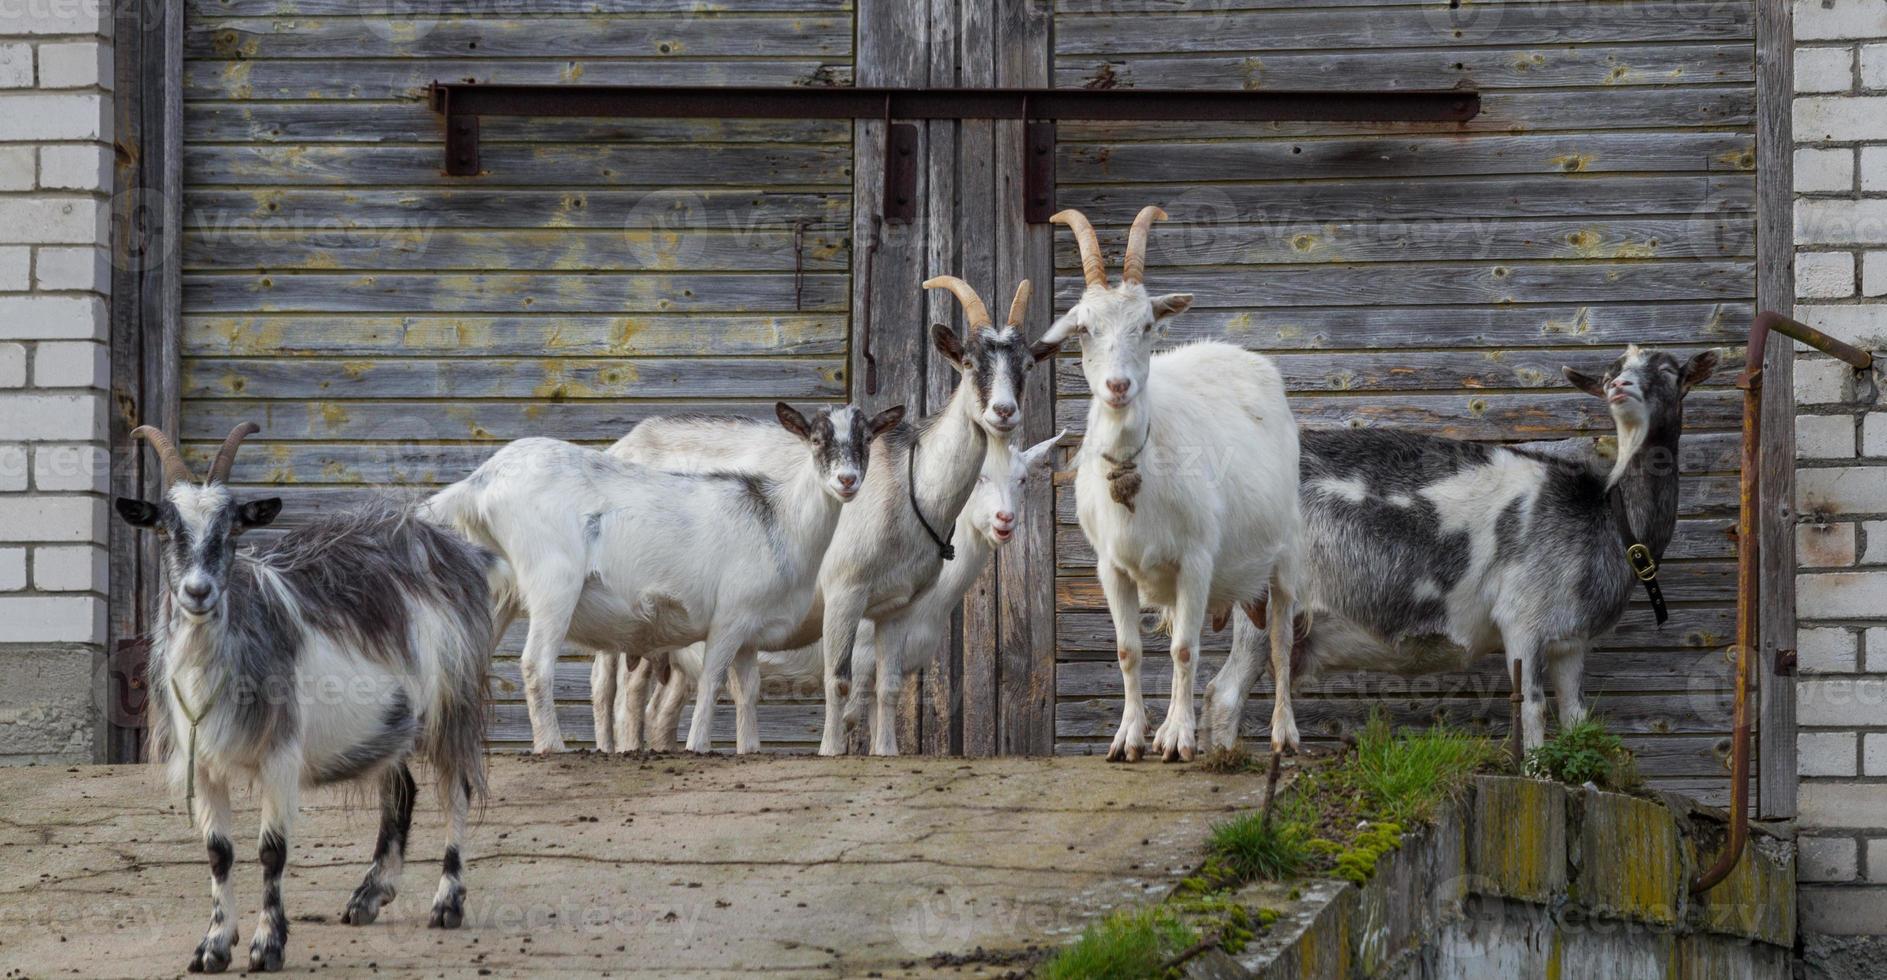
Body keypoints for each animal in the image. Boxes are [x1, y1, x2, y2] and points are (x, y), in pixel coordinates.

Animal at [109, 421, 494, 974]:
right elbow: (218, 852)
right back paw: (369, 896)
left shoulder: (280, 755)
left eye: (234, 528)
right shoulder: (202, 764)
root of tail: (447, 547)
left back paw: (447, 903)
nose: (198, 591)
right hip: (390, 721)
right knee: (401, 791)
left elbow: (272, 850)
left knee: (456, 788)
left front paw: (267, 945)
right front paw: (213, 946)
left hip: (452, 701)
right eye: (163, 528)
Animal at [428, 402, 898, 755]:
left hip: (498, 589)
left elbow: (747, 690)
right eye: (817, 440)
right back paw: (551, 746)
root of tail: (481, 483)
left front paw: (749, 748)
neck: (777, 518)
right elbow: (712, 681)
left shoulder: (750, 629)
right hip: (552, 582)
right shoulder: (728, 619)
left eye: (865, 440)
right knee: (534, 663)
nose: (847, 481)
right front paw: (697, 746)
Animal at [603, 275, 1049, 751]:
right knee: (627, 694)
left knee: (659, 707)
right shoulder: (843, 592)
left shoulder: (896, 606)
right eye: (967, 361)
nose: (1003, 412)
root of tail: (622, 446)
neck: (908, 482)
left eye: (1027, 364)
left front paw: (886, 752)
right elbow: (839, 684)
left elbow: (889, 688)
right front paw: (831, 750)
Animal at [1034, 204, 1313, 759]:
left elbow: (1185, 649)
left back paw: (1283, 734)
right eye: (1083, 328)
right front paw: (1129, 738)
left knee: (1279, 643)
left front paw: (1180, 738)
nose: (1118, 386)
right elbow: (1128, 650)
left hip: (1285, 554)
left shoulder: (1196, 558)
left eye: (1146, 325)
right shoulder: (1111, 568)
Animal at [1207, 345, 1728, 751]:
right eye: (1608, 373)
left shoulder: (1570, 641)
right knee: (1225, 692)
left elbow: (1576, 716)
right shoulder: (1522, 619)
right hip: (1263, 602)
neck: (1605, 515)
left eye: (1668, 371)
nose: (1619, 385)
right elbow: (1533, 710)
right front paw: (1536, 773)